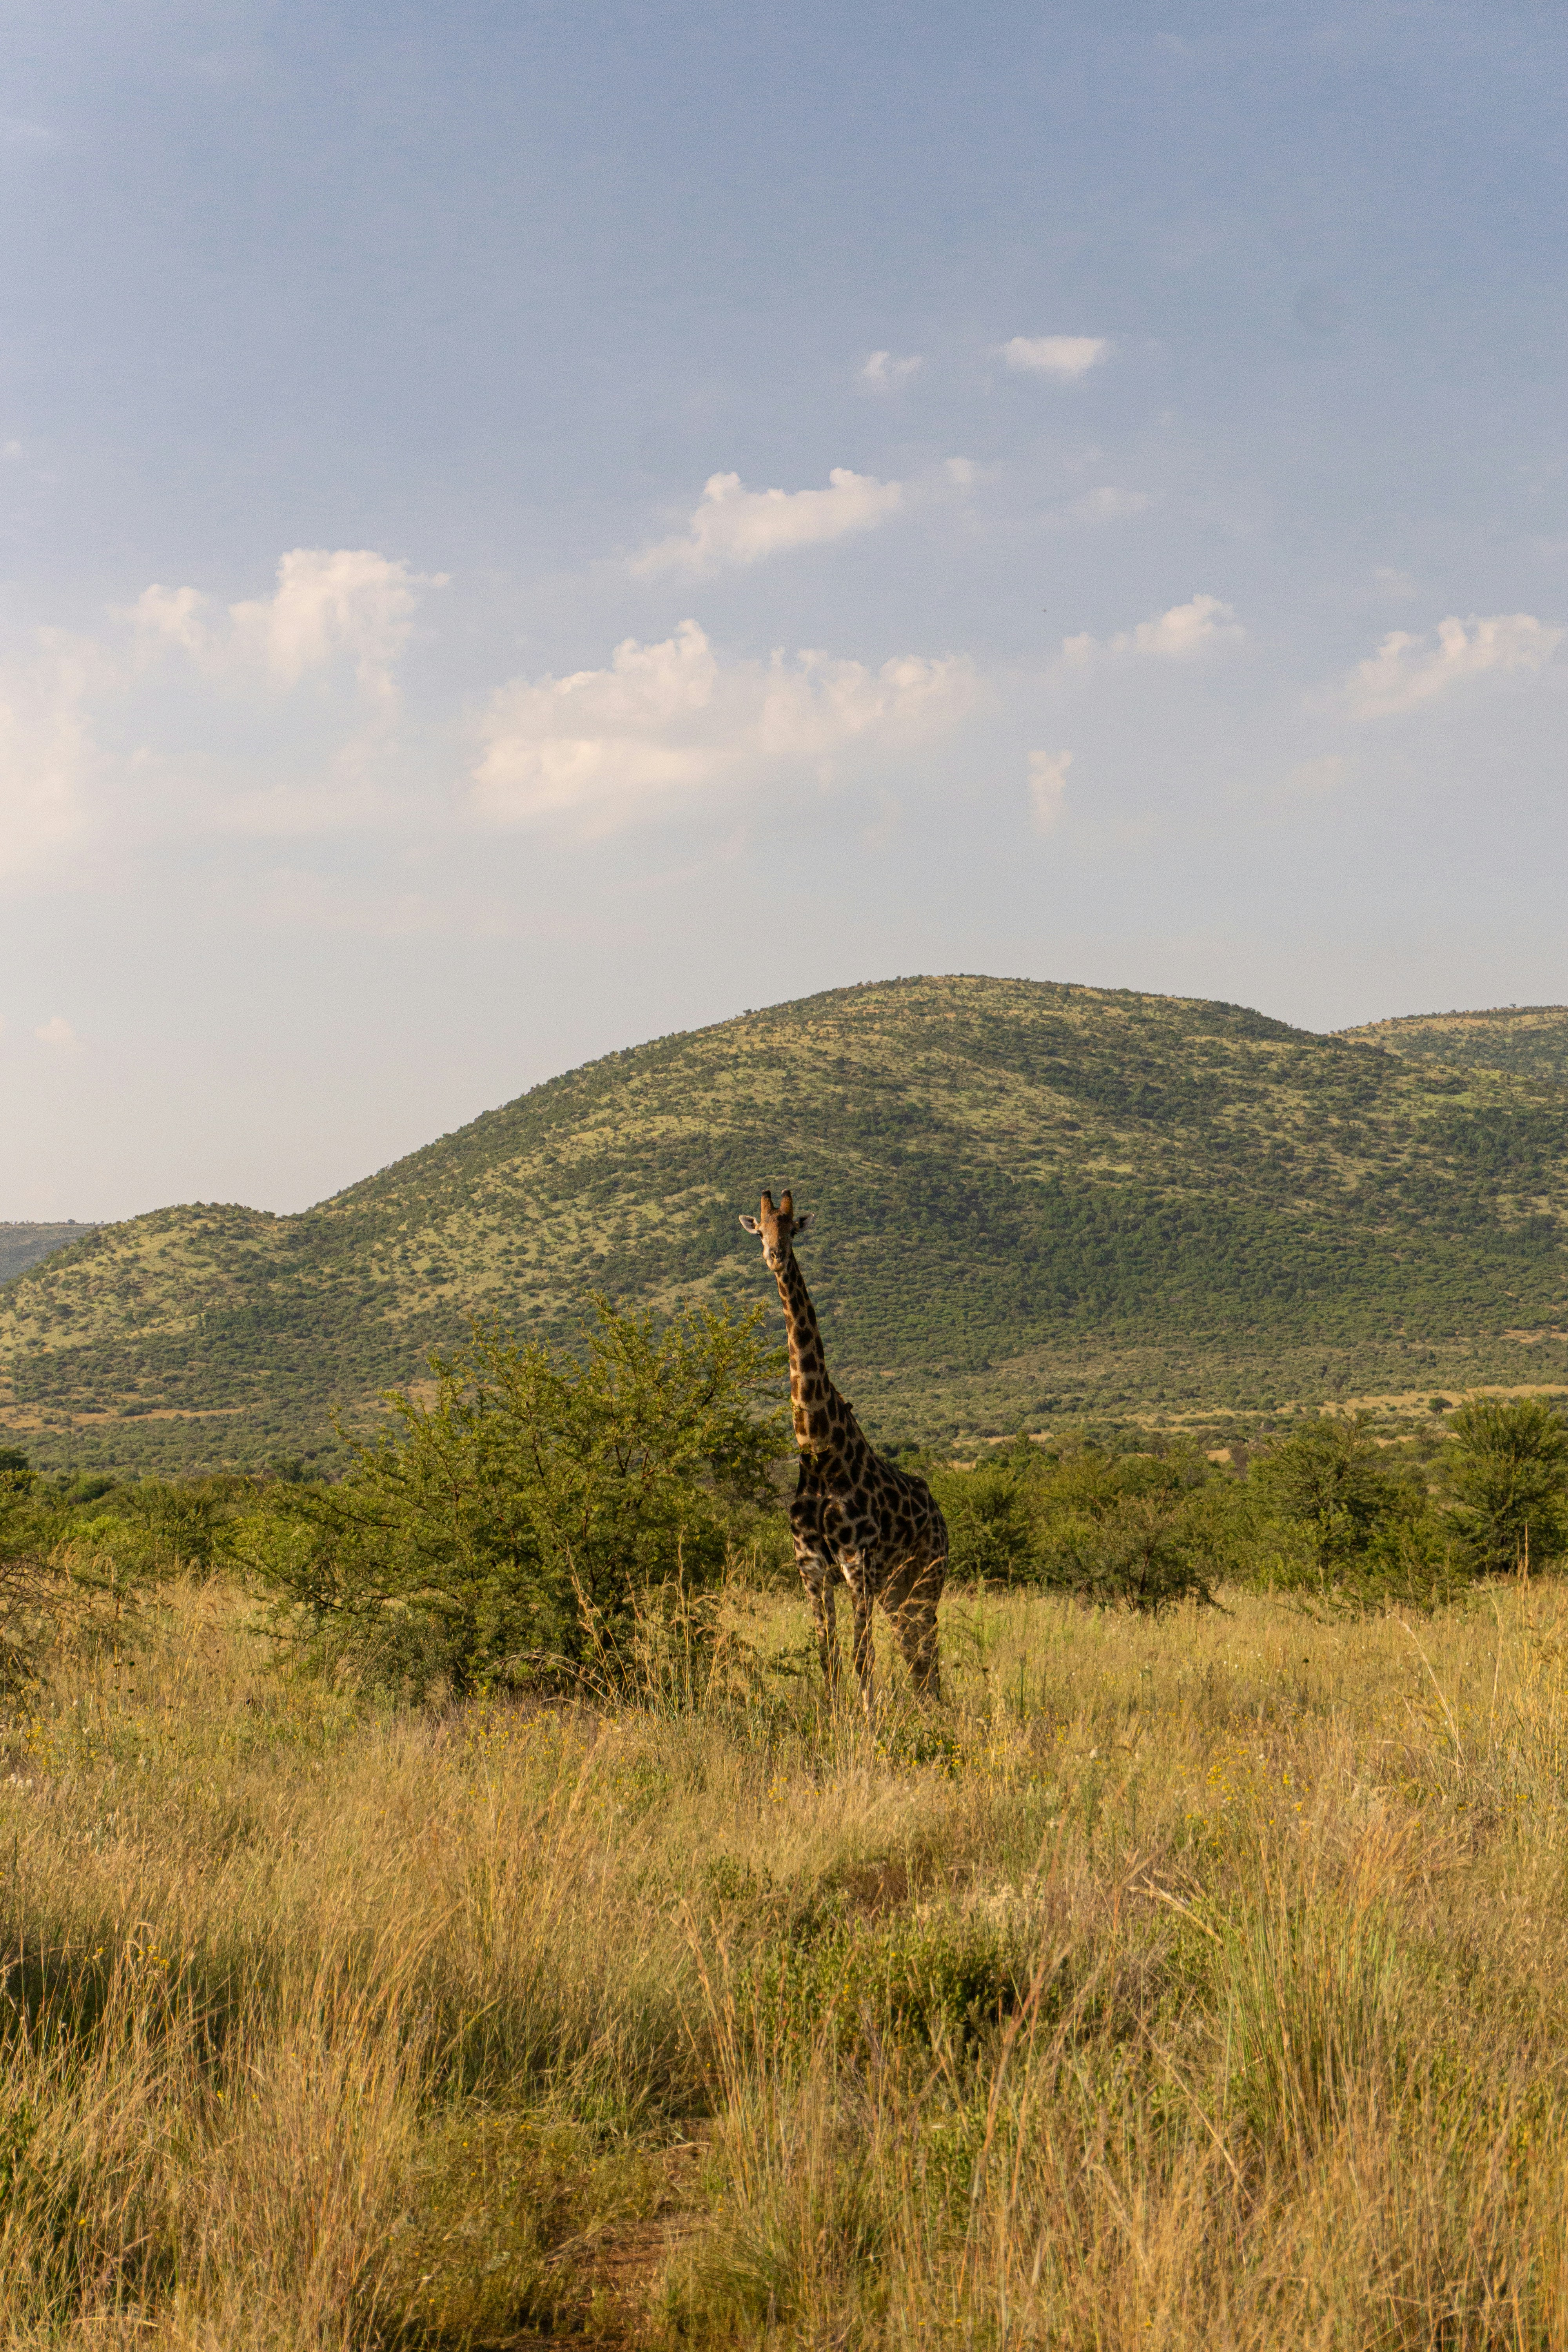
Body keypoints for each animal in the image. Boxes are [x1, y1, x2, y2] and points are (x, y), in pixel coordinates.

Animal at [739, 1189, 946, 1713]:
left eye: (792, 1229)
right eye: (760, 1230)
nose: (775, 1255)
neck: (818, 1451)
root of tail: (939, 1514)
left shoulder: (858, 1566)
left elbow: (860, 1655)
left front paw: (867, 1719)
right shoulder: (811, 1570)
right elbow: (827, 1656)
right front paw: (835, 1717)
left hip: (926, 1577)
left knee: (926, 1648)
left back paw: (935, 1714)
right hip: (898, 1590)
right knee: (916, 1649)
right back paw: (927, 1712)